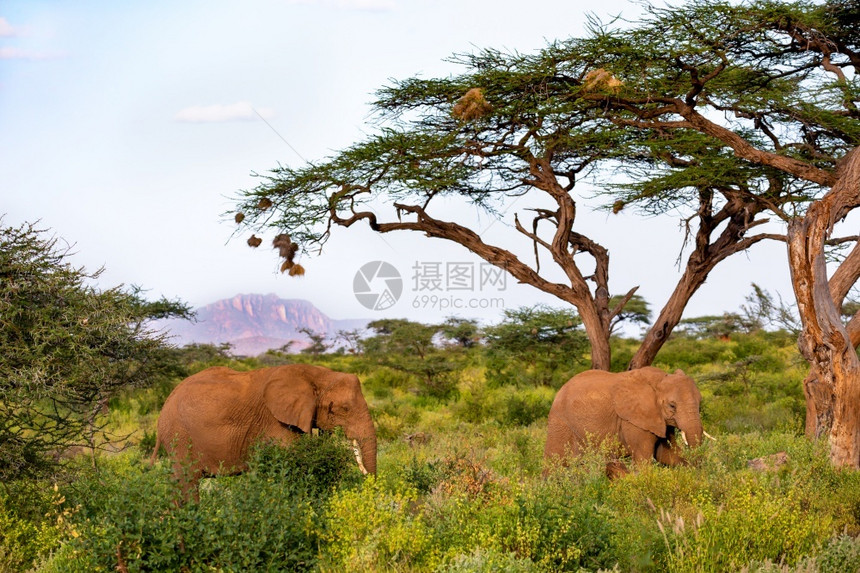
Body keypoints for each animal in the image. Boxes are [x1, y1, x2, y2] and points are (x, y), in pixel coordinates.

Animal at [544, 366, 704, 470]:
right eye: (672, 406)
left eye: (700, 403)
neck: (659, 378)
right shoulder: (633, 420)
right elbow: (643, 457)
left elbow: (666, 454)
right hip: (560, 421)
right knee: (555, 462)